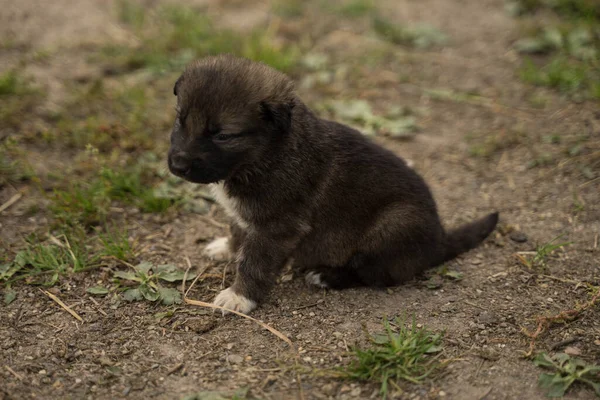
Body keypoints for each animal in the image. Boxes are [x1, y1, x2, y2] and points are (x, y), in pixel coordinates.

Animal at [168, 54, 496, 314]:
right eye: (180, 120)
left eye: (223, 135)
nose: (177, 165)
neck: (267, 152)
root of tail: (439, 240)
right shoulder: (247, 217)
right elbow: (238, 231)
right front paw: (227, 247)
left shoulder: (277, 228)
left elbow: (255, 263)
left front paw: (239, 297)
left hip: (394, 225)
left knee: (375, 273)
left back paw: (327, 276)